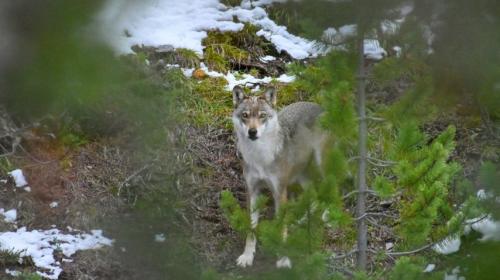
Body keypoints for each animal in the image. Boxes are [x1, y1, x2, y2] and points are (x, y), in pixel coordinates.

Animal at [231, 84, 328, 268]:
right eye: (245, 115)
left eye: (262, 116)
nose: (252, 132)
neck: (260, 156)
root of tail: (319, 106)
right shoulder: (252, 191)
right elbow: (251, 229)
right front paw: (247, 256)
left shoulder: (279, 192)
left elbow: (281, 228)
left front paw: (283, 259)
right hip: (301, 176)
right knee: (314, 195)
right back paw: (301, 220)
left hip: (321, 165)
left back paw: (328, 215)